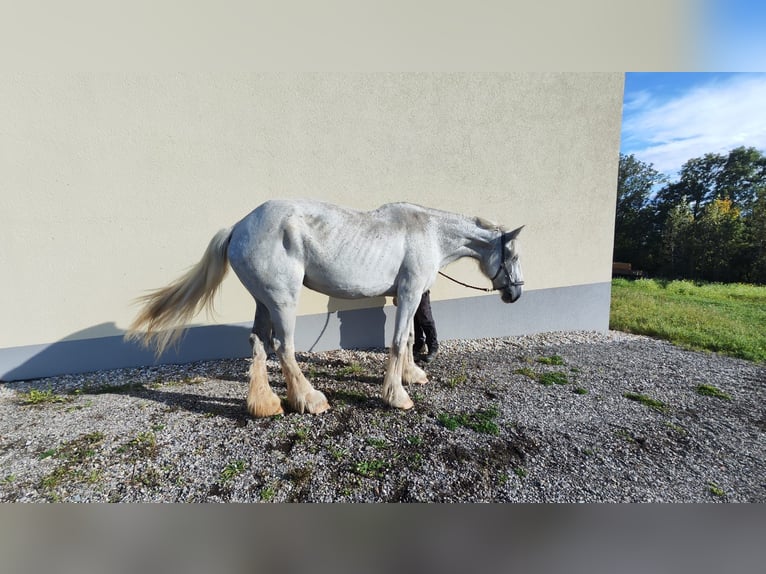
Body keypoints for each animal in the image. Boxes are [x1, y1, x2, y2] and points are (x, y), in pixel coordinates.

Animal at [127, 199, 524, 417]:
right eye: (515, 256)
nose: (516, 294)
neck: (428, 233)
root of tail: (238, 227)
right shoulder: (411, 294)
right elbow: (398, 342)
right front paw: (397, 396)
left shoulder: (406, 298)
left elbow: (410, 337)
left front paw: (412, 376)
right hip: (283, 300)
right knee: (283, 347)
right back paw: (310, 399)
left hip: (264, 302)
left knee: (258, 343)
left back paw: (265, 405)